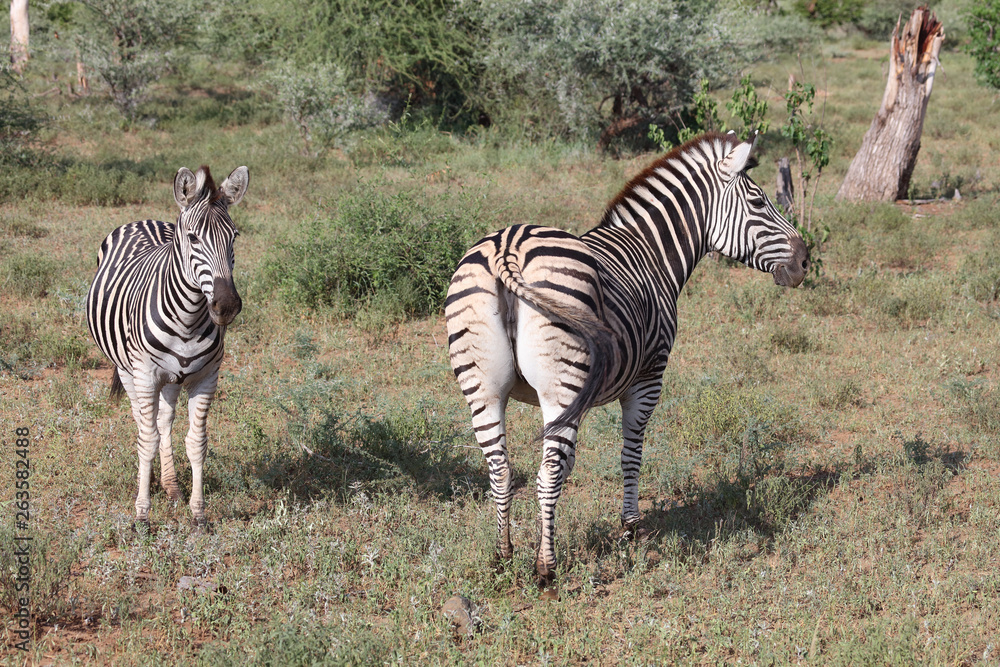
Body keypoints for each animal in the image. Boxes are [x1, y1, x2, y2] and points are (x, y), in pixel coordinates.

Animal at [86, 165, 248, 528]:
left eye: (234, 237)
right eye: (193, 238)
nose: (227, 306)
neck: (187, 318)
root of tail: (142, 219)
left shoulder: (206, 378)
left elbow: (197, 442)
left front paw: (198, 512)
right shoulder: (145, 375)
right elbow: (146, 441)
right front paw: (142, 513)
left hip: (173, 379)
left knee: (164, 421)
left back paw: (171, 486)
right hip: (127, 369)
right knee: (143, 423)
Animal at [445, 132, 809, 584]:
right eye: (759, 202)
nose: (805, 260)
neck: (652, 253)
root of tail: (507, 248)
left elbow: (570, 461)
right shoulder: (649, 376)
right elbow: (631, 452)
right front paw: (631, 526)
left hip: (483, 387)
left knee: (501, 470)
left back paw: (504, 554)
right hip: (562, 387)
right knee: (546, 474)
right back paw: (546, 568)